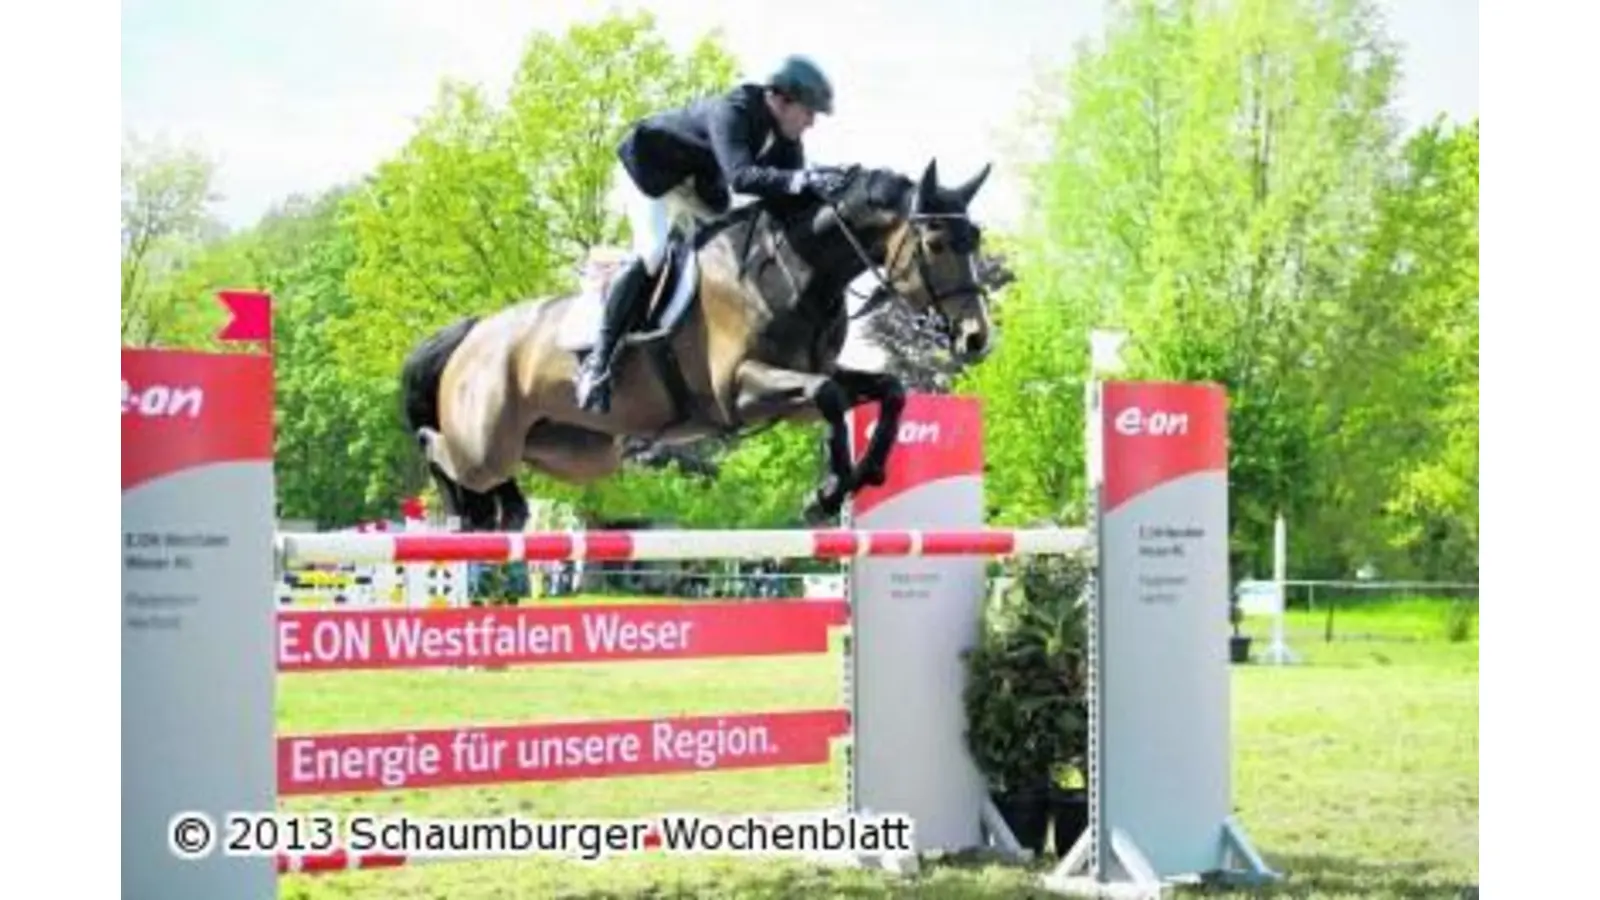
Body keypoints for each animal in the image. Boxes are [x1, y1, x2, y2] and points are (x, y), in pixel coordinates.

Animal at [398, 158, 992, 528]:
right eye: (936, 243)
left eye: (975, 238)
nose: (976, 338)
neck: (796, 269)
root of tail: (474, 332)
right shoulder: (741, 389)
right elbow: (828, 397)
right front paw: (827, 493)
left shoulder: (805, 384)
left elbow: (885, 390)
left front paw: (860, 475)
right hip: (485, 443)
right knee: (438, 446)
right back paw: (461, 510)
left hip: (577, 452)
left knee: (502, 475)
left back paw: (507, 509)